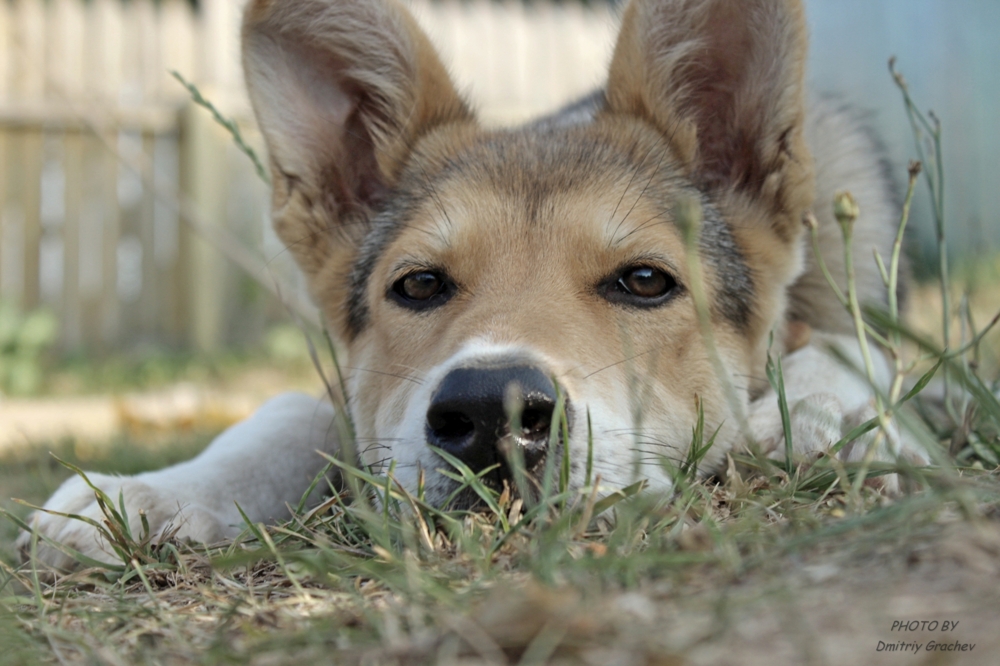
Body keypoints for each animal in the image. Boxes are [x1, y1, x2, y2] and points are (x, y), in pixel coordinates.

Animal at [15, 0, 928, 564]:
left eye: (644, 280)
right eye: (418, 286)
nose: (494, 411)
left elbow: (851, 353)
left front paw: (828, 415)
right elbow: (292, 409)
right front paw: (153, 492)